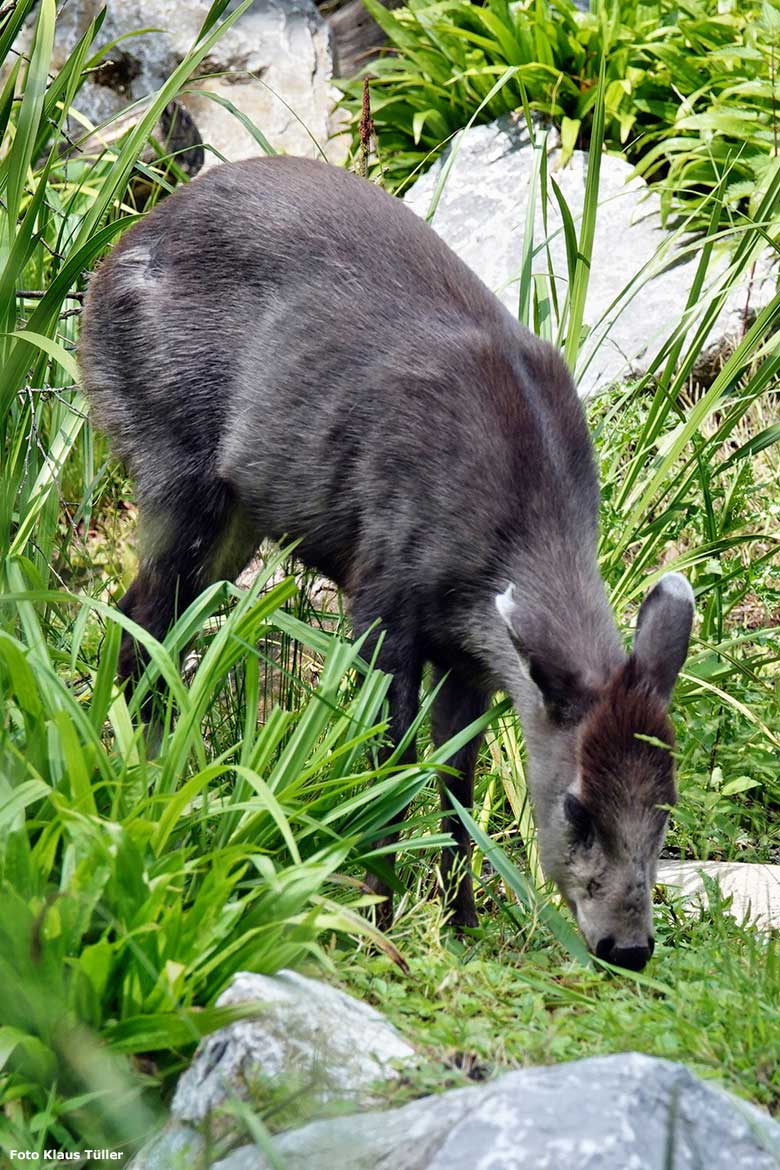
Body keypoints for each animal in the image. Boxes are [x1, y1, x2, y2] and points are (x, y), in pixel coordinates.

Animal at [80, 153, 696, 968]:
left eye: (667, 804)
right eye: (578, 808)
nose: (626, 945)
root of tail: (110, 261)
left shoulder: (474, 653)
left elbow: (458, 774)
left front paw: (461, 923)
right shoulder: (382, 596)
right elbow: (392, 762)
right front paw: (378, 923)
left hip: (236, 519)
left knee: (142, 618)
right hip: (171, 460)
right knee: (141, 622)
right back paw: (146, 785)